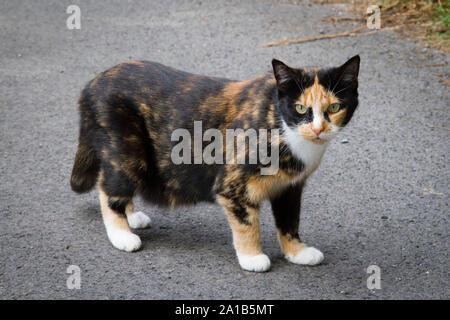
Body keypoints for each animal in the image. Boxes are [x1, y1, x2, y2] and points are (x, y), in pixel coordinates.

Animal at [70, 55, 360, 272]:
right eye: (300, 109)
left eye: (334, 108)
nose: (318, 129)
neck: (279, 121)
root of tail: (92, 83)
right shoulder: (234, 185)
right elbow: (247, 224)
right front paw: (252, 257)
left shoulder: (290, 188)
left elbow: (290, 222)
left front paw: (297, 252)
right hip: (126, 151)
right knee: (108, 187)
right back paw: (122, 234)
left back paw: (132, 217)